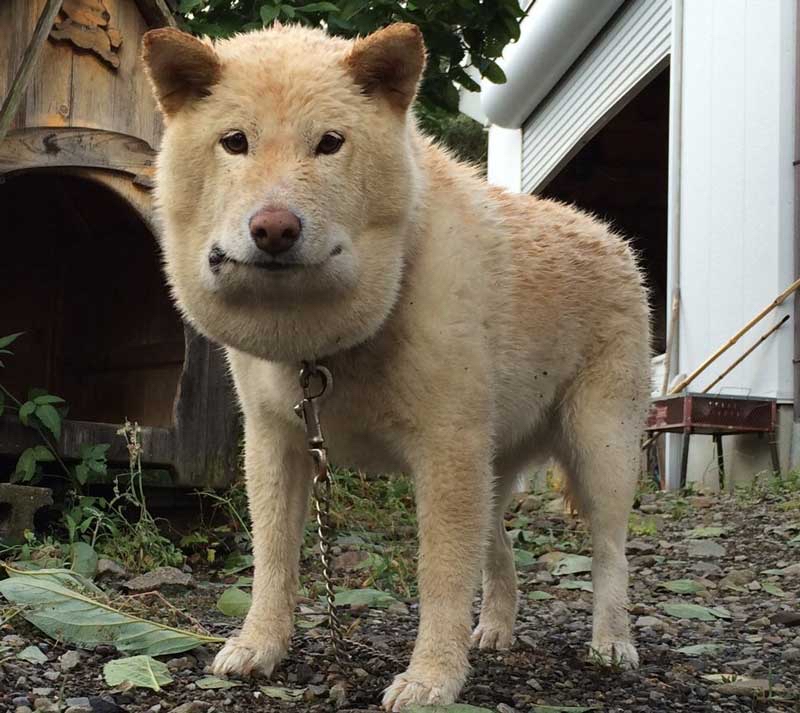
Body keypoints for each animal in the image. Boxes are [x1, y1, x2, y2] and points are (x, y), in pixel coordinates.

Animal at [142, 20, 648, 708]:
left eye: (330, 143)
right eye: (235, 142)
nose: (274, 228)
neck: (326, 347)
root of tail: (615, 241)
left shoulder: (446, 449)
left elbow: (441, 575)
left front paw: (432, 677)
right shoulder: (275, 442)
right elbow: (274, 560)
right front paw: (259, 646)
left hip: (600, 451)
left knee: (609, 553)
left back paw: (612, 643)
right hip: (494, 464)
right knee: (498, 549)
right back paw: (495, 629)